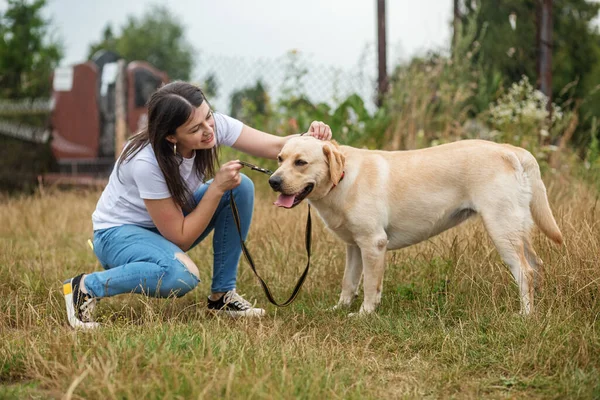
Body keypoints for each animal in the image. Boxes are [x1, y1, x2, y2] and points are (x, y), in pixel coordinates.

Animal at [268, 138, 564, 316]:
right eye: (280, 158)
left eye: (301, 162)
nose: (273, 181)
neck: (341, 179)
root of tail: (509, 149)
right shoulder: (354, 246)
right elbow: (348, 283)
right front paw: (338, 309)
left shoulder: (373, 244)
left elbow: (370, 286)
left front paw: (364, 314)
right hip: (517, 229)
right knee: (536, 265)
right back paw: (538, 305)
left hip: (501, 229)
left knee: (525, 271)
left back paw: (525, 315)